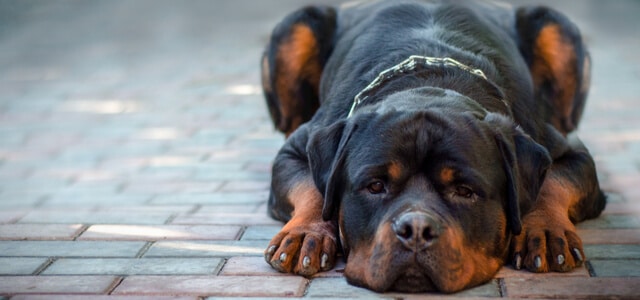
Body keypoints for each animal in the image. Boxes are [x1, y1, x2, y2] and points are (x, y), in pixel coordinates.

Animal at [258, 0, 604, 292]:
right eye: (375, 186)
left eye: (465, 191)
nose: (416, 228)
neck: (432, 79)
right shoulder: (299, 147)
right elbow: (314, 187)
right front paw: (308, 232)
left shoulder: (568, 150)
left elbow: (552, 183)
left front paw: (544, 230)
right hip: (296, 26)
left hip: (554, 27)